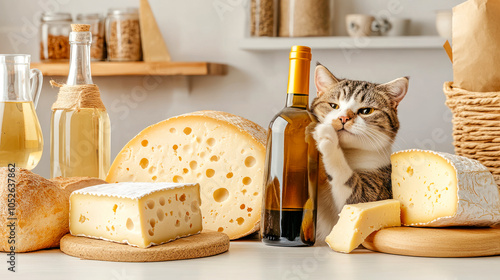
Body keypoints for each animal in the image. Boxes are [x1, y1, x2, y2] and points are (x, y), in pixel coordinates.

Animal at [310, 63, 408, 241]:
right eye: (334, 105)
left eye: (366, 111)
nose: (343, 118)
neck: (349, 153)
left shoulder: (372, 192)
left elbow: (349, 187)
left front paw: (328, 138)